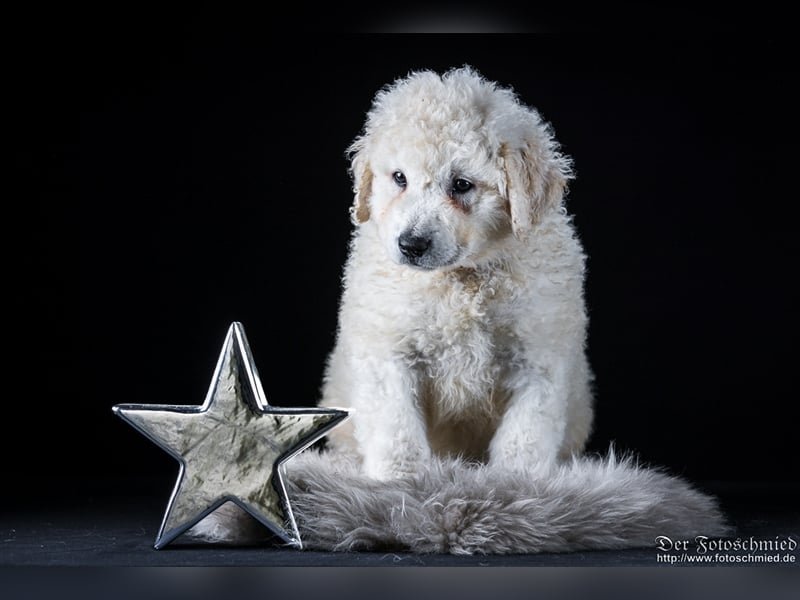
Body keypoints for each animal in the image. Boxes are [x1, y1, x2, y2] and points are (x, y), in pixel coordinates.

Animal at [320, 64, 592, 478]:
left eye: (462, 185)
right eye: (399, 178)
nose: (411, 245)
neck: (461, 279)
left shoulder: (539, 355)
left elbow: (525, 433)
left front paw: (517, 481)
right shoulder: (389, 350)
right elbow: (396, 425)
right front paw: (399, 477)